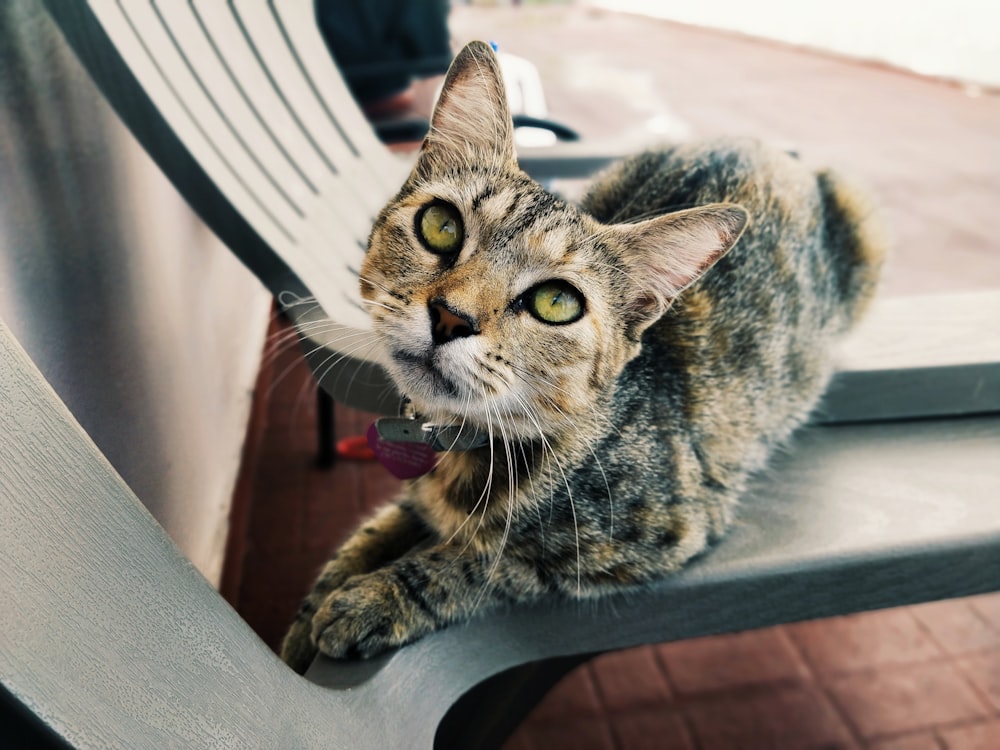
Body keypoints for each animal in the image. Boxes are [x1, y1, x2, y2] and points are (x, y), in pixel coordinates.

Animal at [280, 44, 884, 672]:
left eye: (556, 302)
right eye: (440, 225)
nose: (450, 317)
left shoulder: (648, 539)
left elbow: (485, 561)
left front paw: (376, 597)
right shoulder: (419, 494)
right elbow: (376, 531)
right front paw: (316, 607)